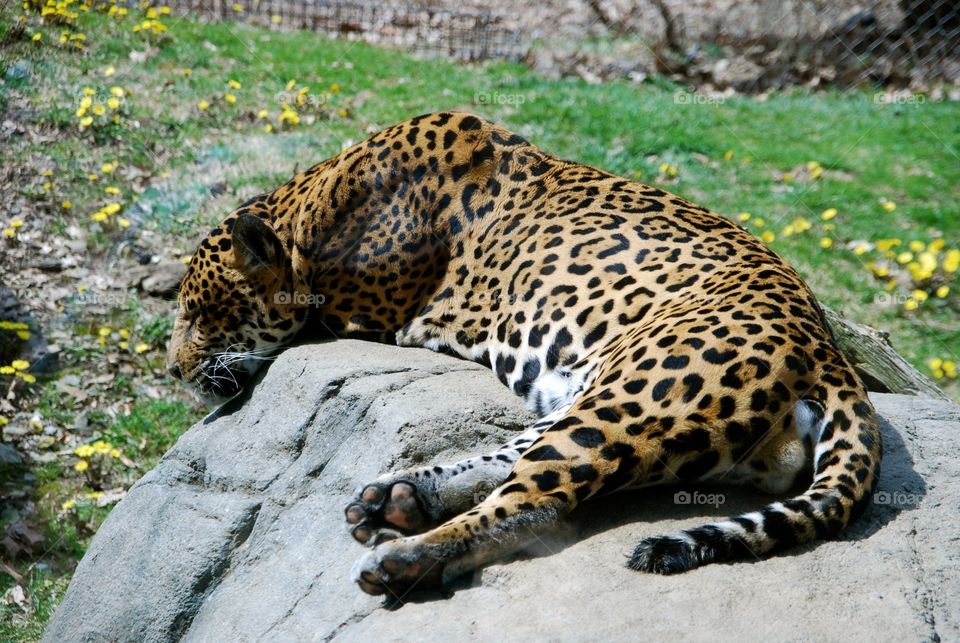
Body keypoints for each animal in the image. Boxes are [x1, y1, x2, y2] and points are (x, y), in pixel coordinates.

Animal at [166, 111, 882, 598]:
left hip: (633, 399)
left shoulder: (362, 312)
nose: (173, 370)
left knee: (535, 501)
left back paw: (400, 558)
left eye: (199, 316)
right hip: (606, 396)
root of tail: (830, 355)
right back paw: (396, 499)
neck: (310, 212)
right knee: (514, 460)